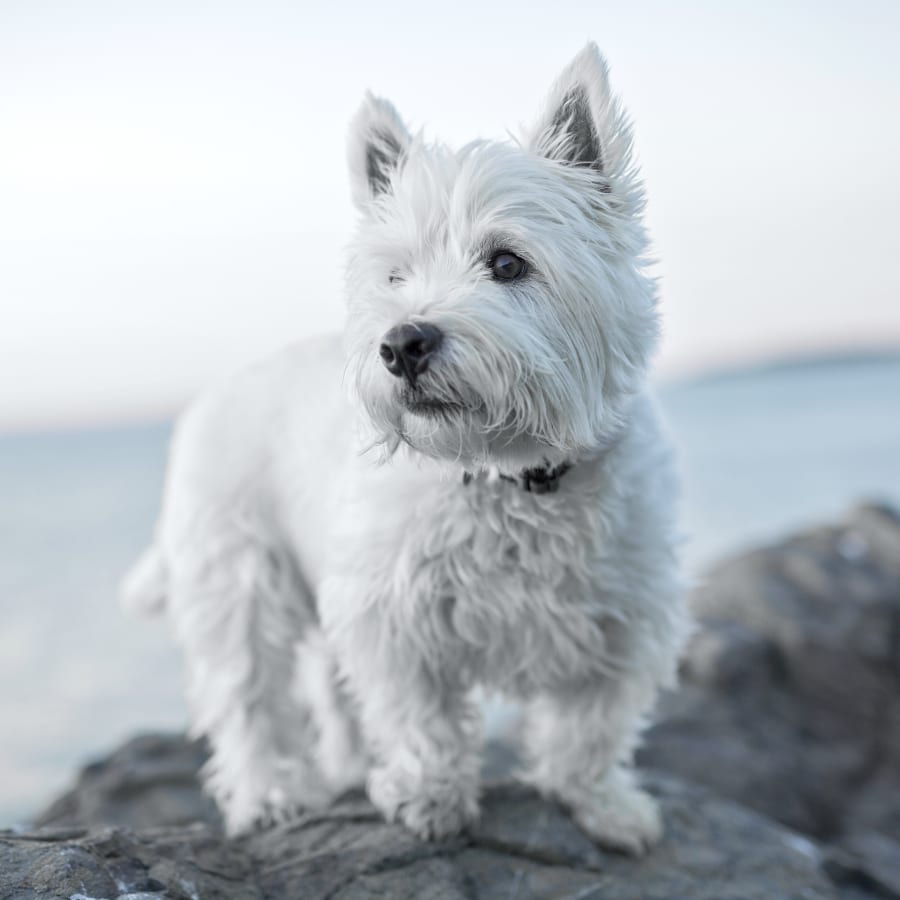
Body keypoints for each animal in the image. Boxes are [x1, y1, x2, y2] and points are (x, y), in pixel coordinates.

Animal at [123, 44, 688, 856]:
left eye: (508, 262)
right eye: (394, 274)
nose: (402, 343)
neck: (505, 473)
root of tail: (209, 395)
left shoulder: (625, 614)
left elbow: (590, 725)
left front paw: (603, 806)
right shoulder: (390, 610)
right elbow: (420, 715)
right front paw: (430, 798)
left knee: (324, 688)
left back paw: (351, 770)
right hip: (237, 574)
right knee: (248, 696)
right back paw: (270, 797)